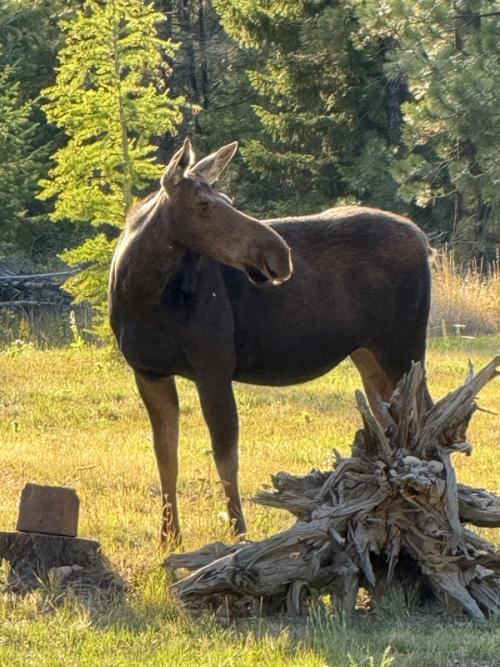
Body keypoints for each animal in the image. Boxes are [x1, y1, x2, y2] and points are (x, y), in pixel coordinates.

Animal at [109, 138, 433, 543]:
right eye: (203, 204)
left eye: (228, 199)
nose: (279, 254)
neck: (140, 294)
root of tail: (424, 241)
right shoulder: (148, 371)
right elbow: (166, 455)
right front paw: (169, 536)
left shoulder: (213, 368)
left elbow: (225, 457)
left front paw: (238, 532)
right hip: (368, 353)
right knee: (391, 420)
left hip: (404, 348)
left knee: (430, 415)